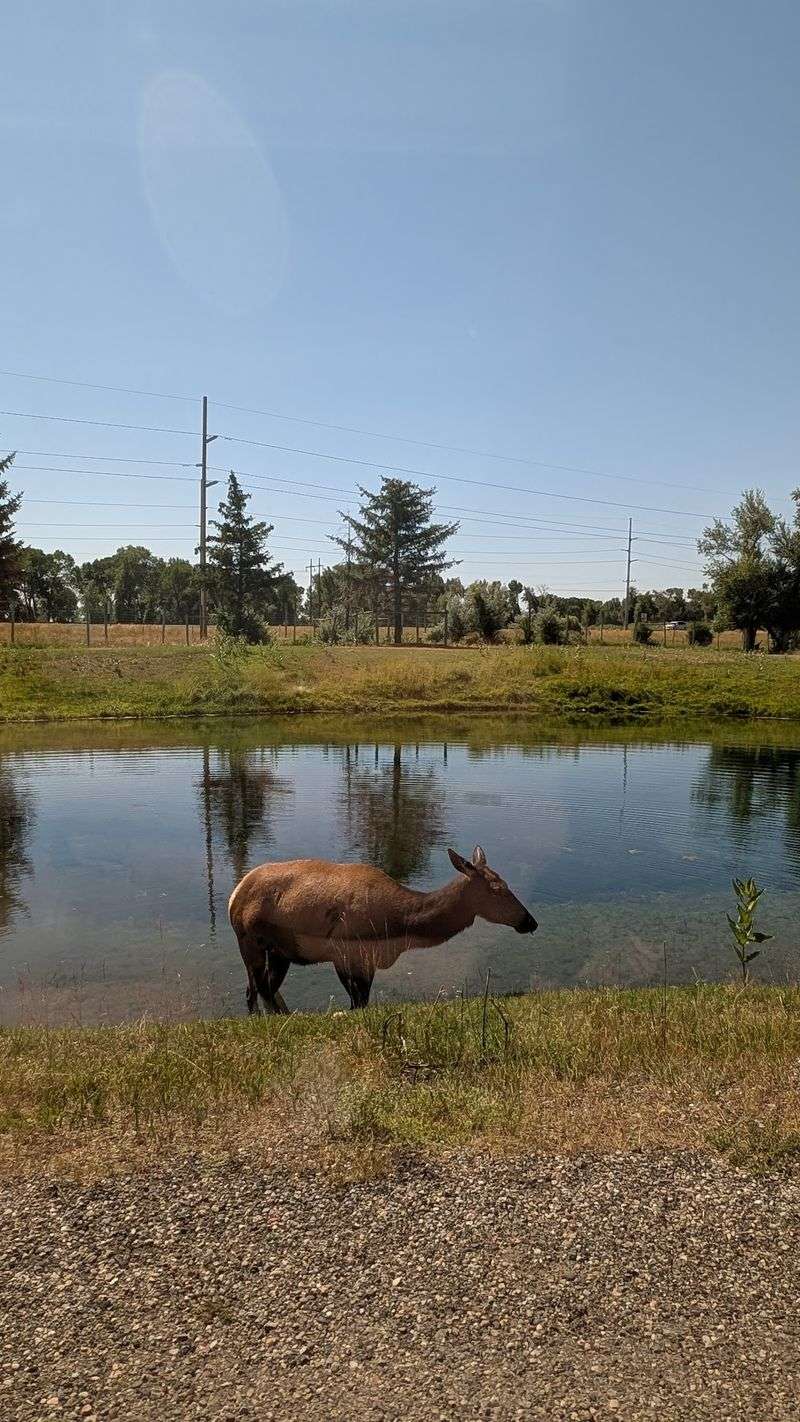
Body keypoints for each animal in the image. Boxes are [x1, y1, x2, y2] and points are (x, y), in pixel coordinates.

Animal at [229, 845, 537, 1013]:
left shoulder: (368, 958)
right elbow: (357, 1002)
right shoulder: (344, 951)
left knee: (260, 990)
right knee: (259, 989)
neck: (398, 929)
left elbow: (362, 1000)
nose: (530, 921)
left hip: (279, 952)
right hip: (250, 943)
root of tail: (234, 895)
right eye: (497, 889)